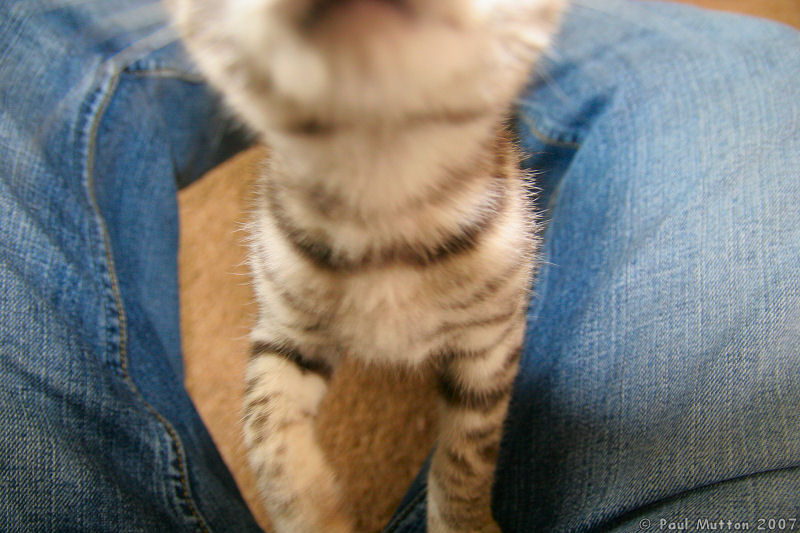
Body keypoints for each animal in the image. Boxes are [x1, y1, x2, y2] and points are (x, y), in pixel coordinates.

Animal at [170, 2, 564, 528]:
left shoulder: (493, 338)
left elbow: (469, 452)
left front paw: (463, 522)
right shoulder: (285, 331)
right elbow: (265, 429)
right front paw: (315, 516)